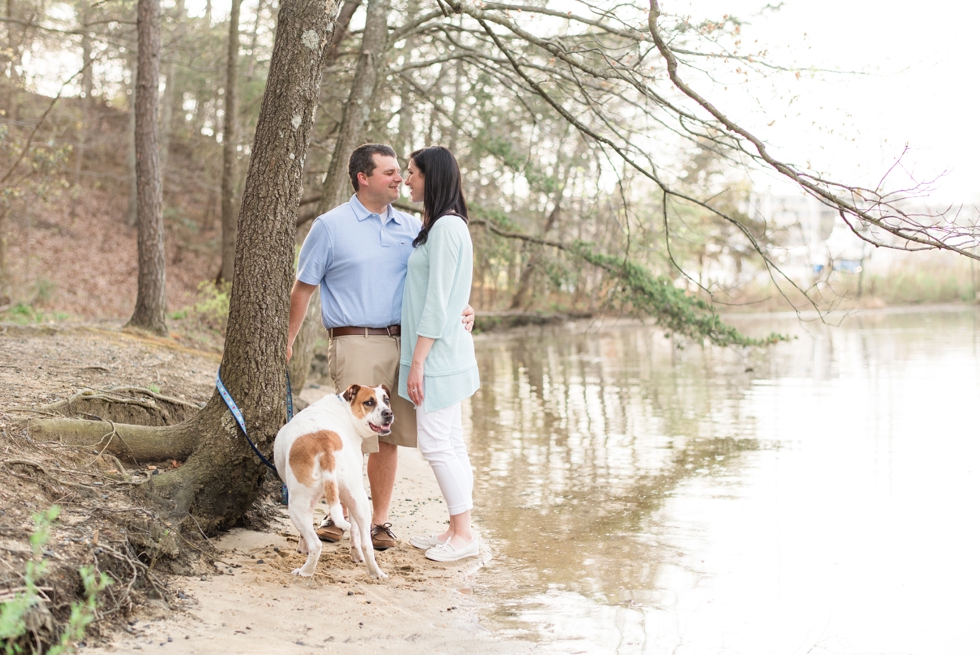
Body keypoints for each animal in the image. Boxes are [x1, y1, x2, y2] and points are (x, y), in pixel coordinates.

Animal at [274, 384, 392, 580]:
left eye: (386, 400)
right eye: (369, 402)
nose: (388, 413)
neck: (344, 407)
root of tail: (325, 446)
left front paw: (301, 548)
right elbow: (354, 532)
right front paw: (356, 555)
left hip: (297, 507)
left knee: (316, 545)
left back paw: (305, 571)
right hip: (359, 500)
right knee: (366, 544)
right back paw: (376, 573)